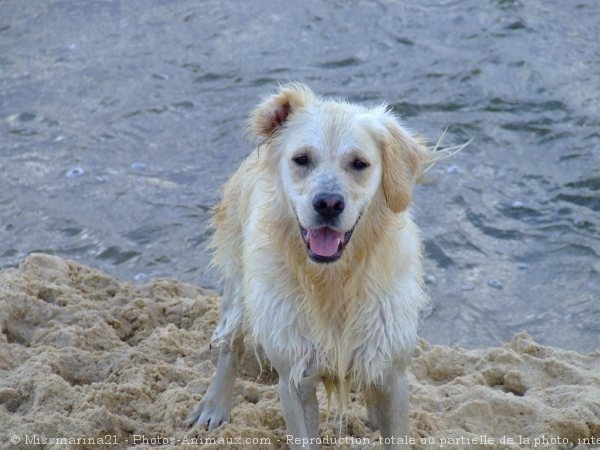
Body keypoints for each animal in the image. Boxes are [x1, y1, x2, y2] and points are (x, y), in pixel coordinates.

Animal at [190, 84, 428, 450]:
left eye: (359, 163)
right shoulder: (295, 377)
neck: (333, 280)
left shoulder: (393, 372)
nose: (328, 203)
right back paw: (213, 407)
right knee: (231, 344)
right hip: (239, 287)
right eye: (302, 159)